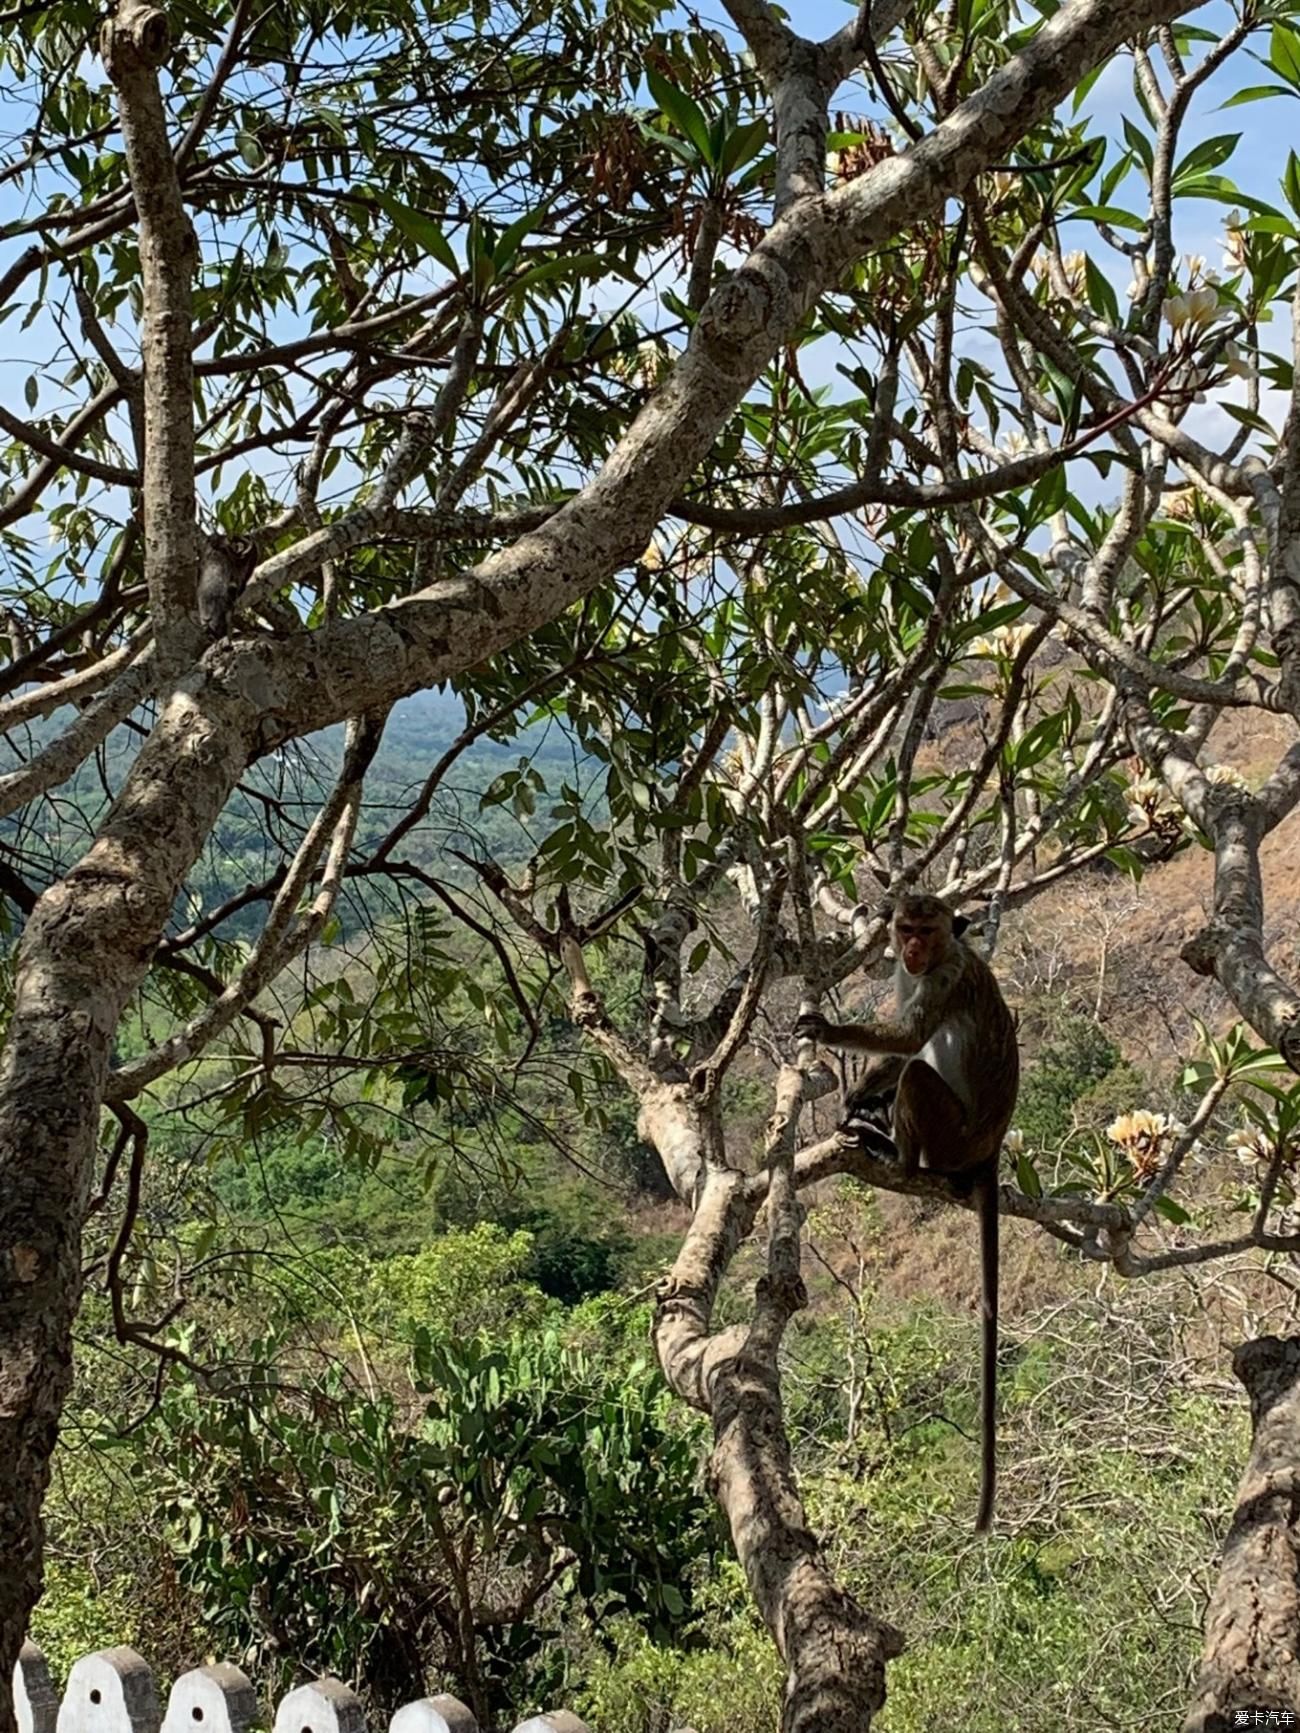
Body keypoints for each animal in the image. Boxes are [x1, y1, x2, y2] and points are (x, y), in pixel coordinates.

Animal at [800, 894, 1026, 1531]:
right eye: (904, 929)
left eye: (928, 928)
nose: (913, 948)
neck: (943, 956)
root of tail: (988, 1152)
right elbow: (899, 1042)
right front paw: (860, 1093)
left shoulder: (945, 980)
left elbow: (908, 1038)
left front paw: (831, 1032)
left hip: (954, 1139)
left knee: (921, 1074)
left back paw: (896, 1153)